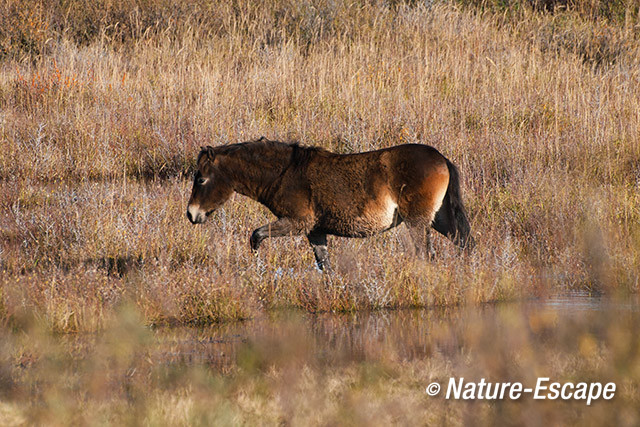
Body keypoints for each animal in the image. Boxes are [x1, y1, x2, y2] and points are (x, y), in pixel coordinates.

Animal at [188, 138, 472, 270]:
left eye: (201, 179)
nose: (192, 214)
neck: (285, 173)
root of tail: (441, 158)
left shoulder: (297, 223)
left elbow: (256, 236)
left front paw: (258, 266)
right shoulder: (315, 232)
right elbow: (325, 265)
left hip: (417, 222)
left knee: (427, 254)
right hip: (440, 219)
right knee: (465, 244)